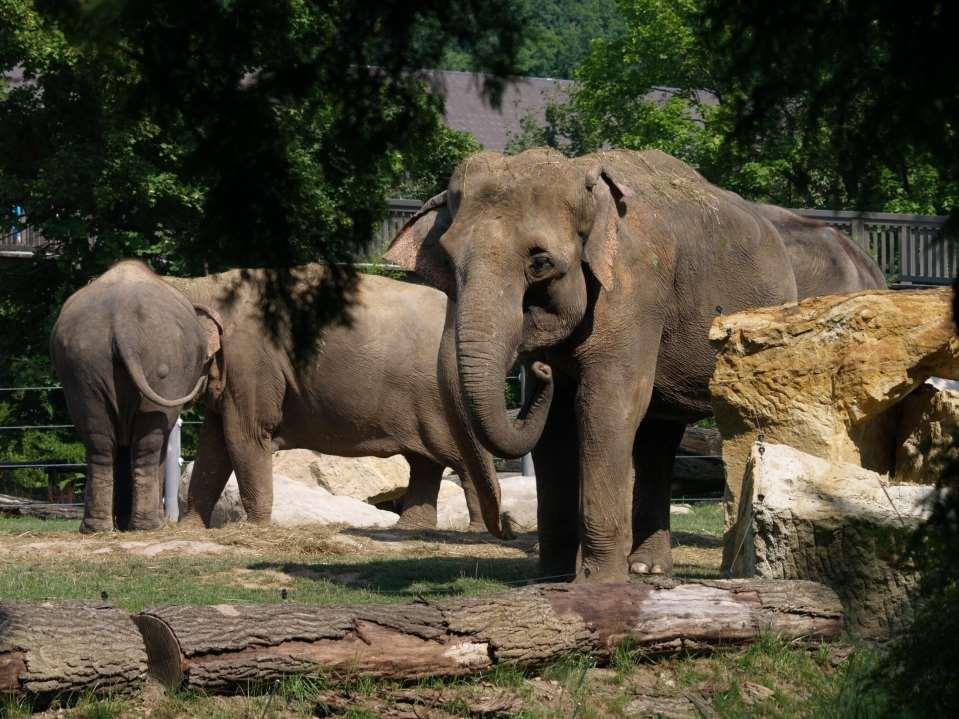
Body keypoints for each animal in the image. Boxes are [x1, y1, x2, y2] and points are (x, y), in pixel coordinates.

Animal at [53, 262, 225, 532]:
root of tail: (122, 319)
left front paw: (122, 523)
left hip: (83, 365)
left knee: (98, 439)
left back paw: (96, 528)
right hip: (164, 365)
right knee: (151, 440)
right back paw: (151, 525)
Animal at [168, 264, 506, 536]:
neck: (200, 285)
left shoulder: (250, 362)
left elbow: (245, 435)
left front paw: (254, 528)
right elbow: (213, 444)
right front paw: (190, 529)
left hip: (440, 398)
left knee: (460, 458)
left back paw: (478, 531)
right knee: (425, 461)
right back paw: (410, 528)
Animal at [384, 149, 884, 584]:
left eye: (540, 262)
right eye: (448, 259)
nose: (538, 371)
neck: (586, 178)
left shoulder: (637, 285)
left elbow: (606, 404)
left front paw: (597, 584)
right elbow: (556, 429)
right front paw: (550, 580)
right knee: (658, 437)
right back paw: (648, 569)